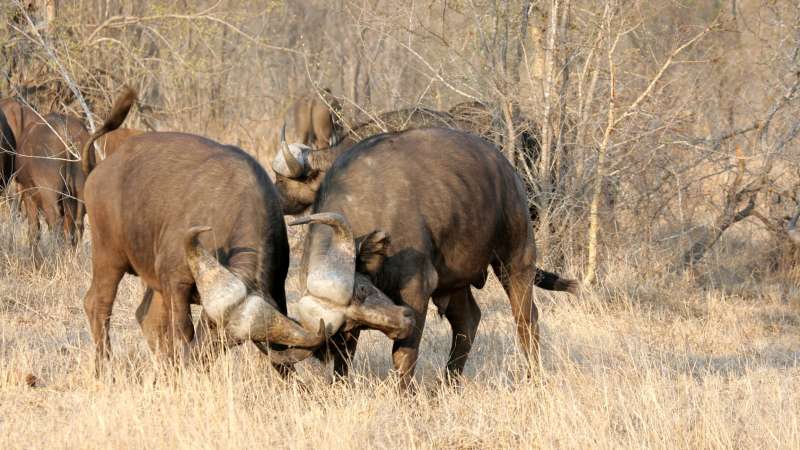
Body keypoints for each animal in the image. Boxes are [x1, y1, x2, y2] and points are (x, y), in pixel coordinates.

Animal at [80, 88, 324, 374]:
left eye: (233, 342)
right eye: (208, 322)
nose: (200, 356)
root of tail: (101, 169)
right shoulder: (175, 281)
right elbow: (182, 330)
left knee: (146, 317)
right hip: (108, 256)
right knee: (97, 304)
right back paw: (104, 366)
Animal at [280, 127, 578, 388]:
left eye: (363, 289)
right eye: (352, 322)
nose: (403, 323)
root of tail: (507, 168)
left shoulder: (417, 288)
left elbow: (403, 355)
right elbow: (343, 358)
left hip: (515, 259)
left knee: (526, 319)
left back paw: (534, 378)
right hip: (454, 281)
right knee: (468, 321)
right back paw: (446, 385)